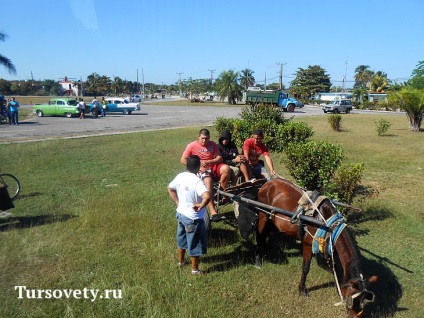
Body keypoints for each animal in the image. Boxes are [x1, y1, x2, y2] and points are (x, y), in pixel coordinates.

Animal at [253, 179, 372, 318]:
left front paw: (337, 289)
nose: (354, 315)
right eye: (351, 299)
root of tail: (269, 182)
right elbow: (305, 268)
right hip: (263, 214)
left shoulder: (328, 247)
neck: (326, 223)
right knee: (260, 235)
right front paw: (302, 289)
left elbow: (334, 269)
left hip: (271, 217)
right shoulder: (308, 244)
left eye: (362, 301)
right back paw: (257, 259)